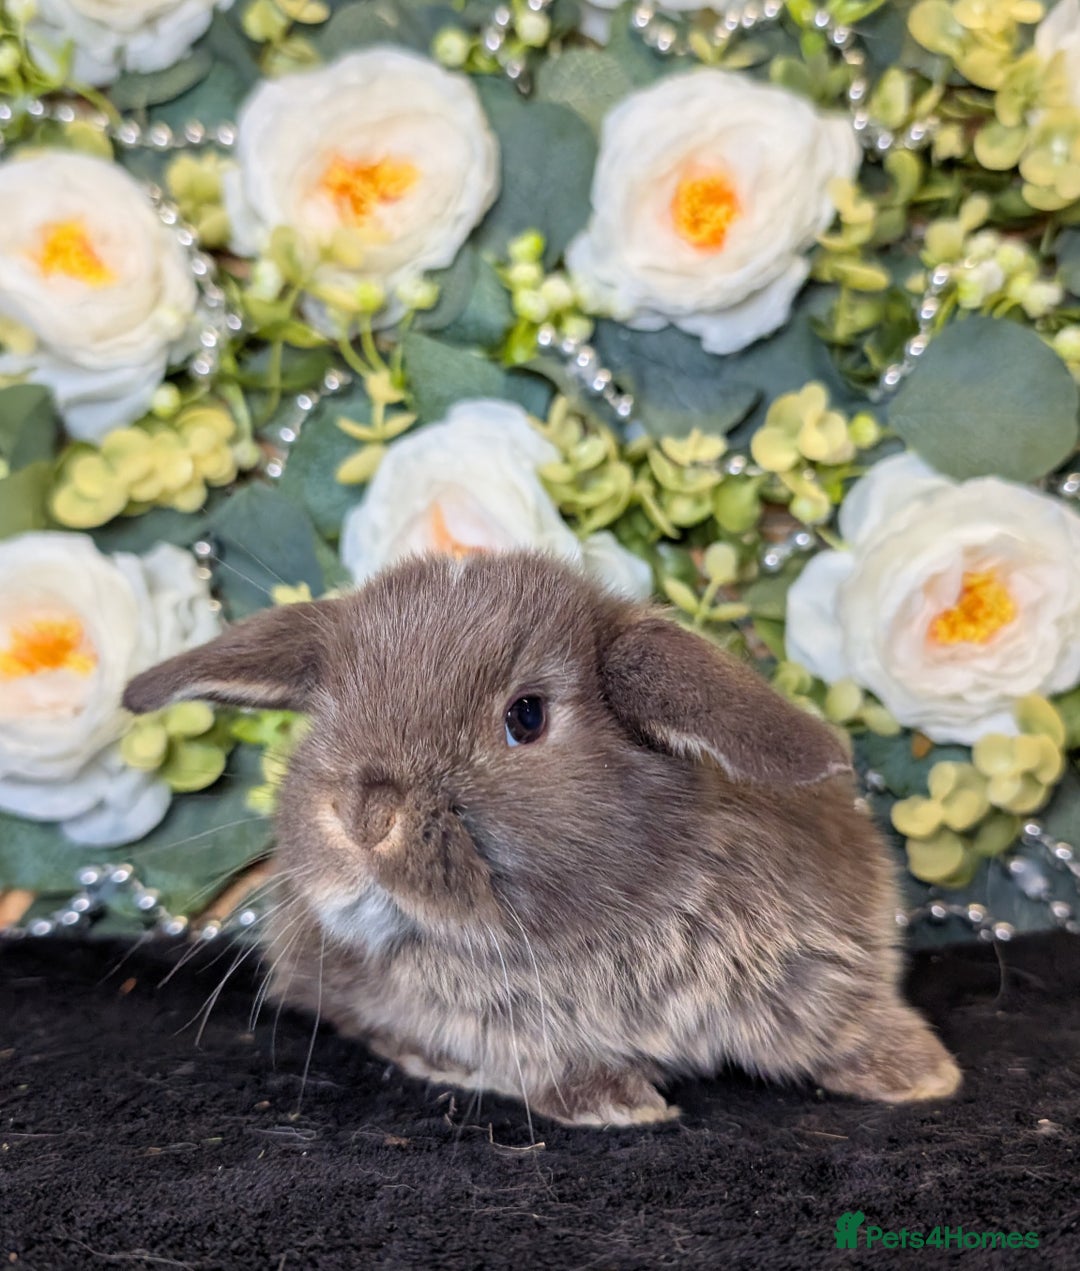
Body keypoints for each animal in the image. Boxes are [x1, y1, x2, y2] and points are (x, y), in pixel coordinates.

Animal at [124, 550, 961, 1127]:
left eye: (525, 716)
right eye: (325, 717)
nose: (366, 816)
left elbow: (843, 1025)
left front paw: (922, 1073)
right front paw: (614, 1100)